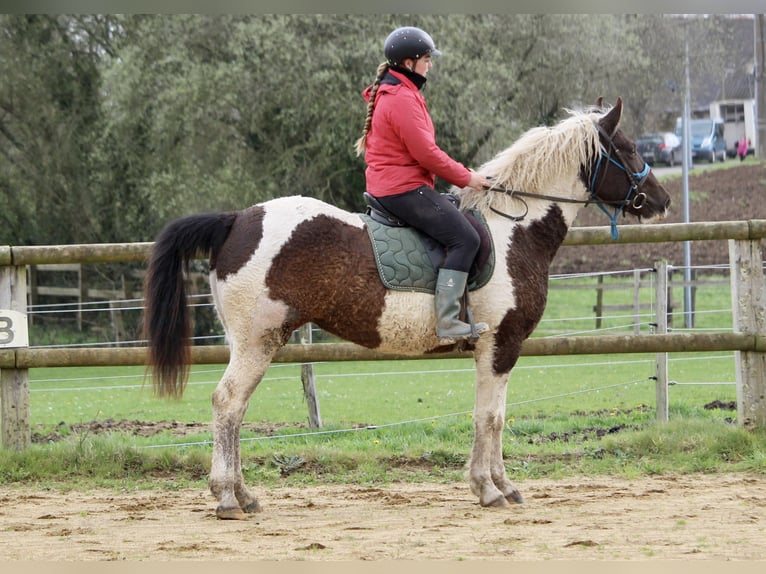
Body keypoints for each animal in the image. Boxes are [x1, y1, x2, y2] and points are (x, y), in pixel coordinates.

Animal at [144, 98, 672, 520]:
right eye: (628, 150)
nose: (662, 200)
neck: (513, 230)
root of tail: (236, 220)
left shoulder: (494, 349)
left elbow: (491, 415)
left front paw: (494, 486)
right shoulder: (500, 345)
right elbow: (491, 417)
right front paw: (492, 489)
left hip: (252, 343)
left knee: (234, 409)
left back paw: (243, 495)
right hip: (258, 342)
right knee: (228, 404)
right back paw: (228, 498)